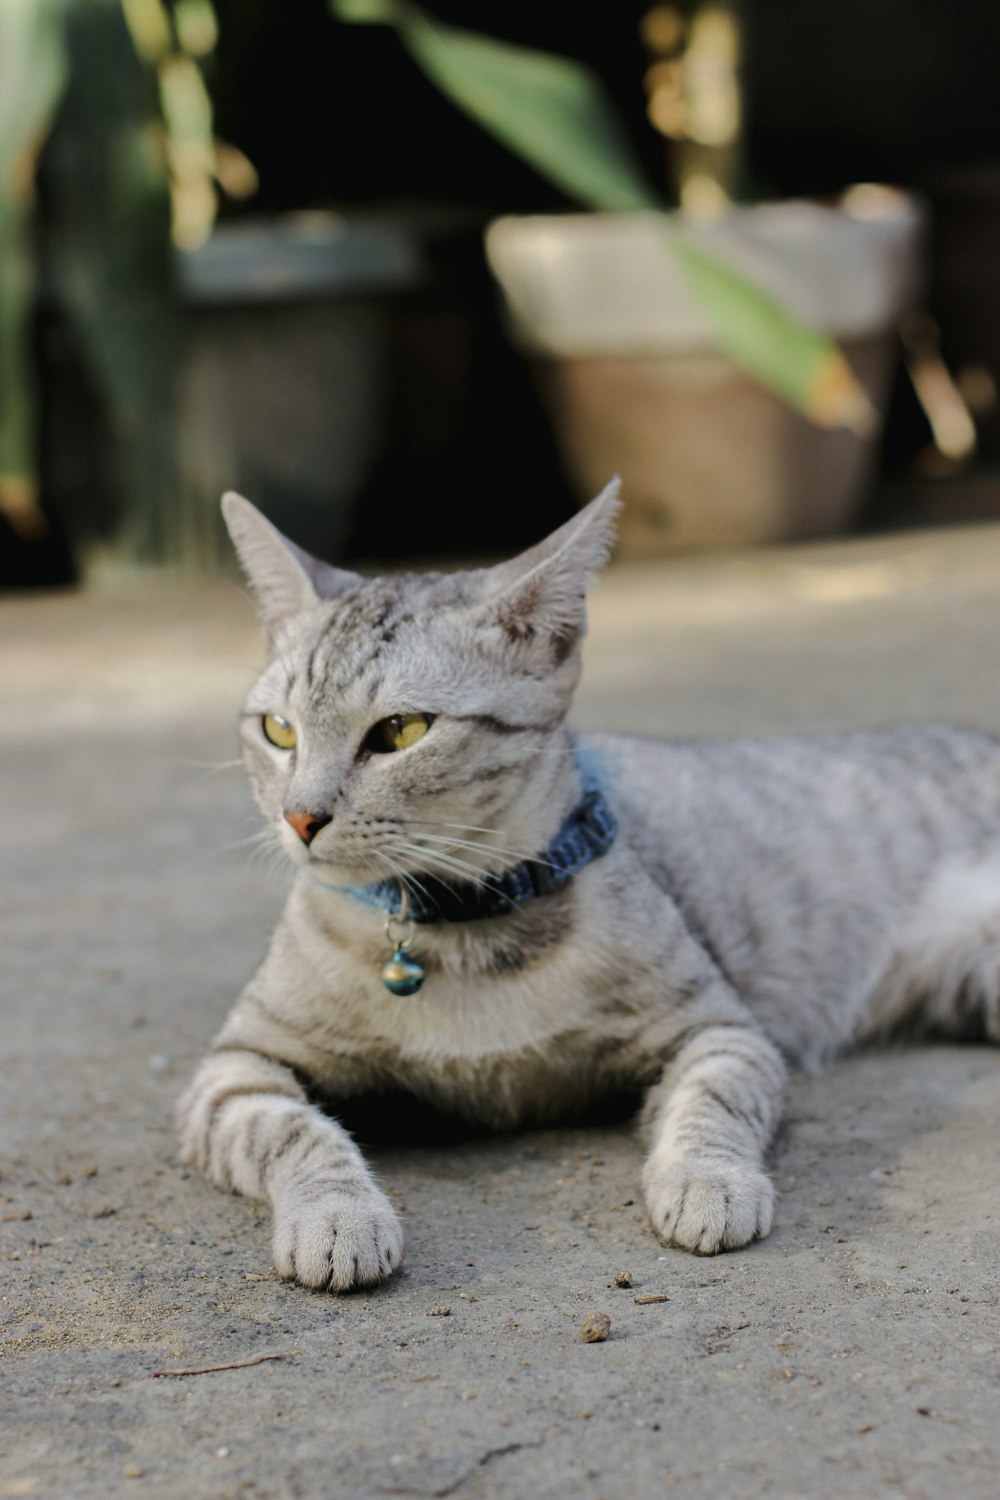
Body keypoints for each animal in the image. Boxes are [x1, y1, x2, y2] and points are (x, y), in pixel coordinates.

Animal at [176, 483, 1000, 1290]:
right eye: (279, 731)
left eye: (402, 731)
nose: (300, 817)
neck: (464, 933)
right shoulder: (234, 1069)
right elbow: (293, 1132)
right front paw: (338, 1215)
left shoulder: (721, 1030)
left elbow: (712, 1101)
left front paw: (707, 1180)